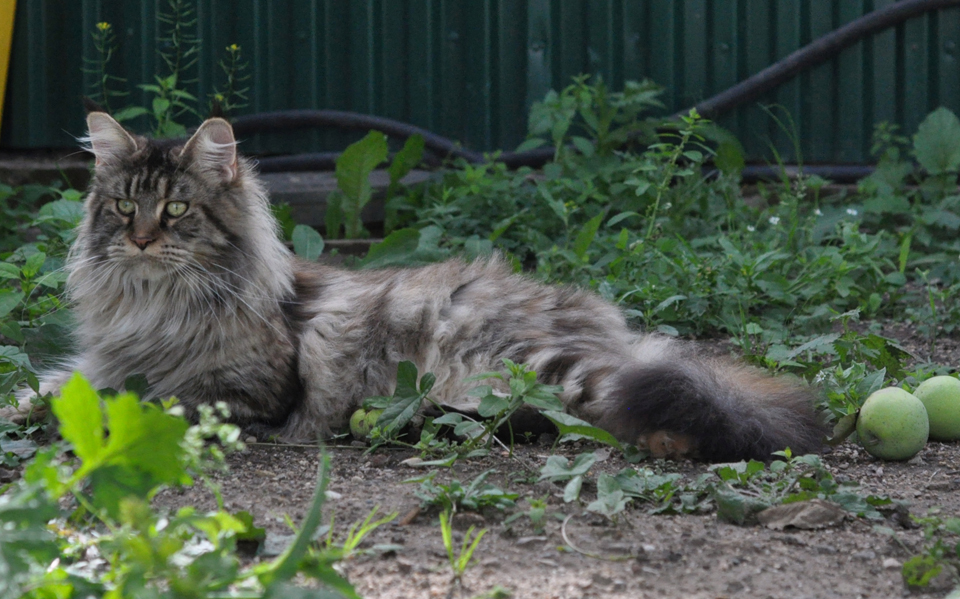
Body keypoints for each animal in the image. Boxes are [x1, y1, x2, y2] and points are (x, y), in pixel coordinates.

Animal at [3, 110, 820, 462]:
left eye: (174, 210)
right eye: (122, 206)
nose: (141, 239)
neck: (155, 304)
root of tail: (611, 327)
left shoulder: (243, 393)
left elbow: (142, 403)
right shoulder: (96, 364)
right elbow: (41, 392)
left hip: (556, 370)